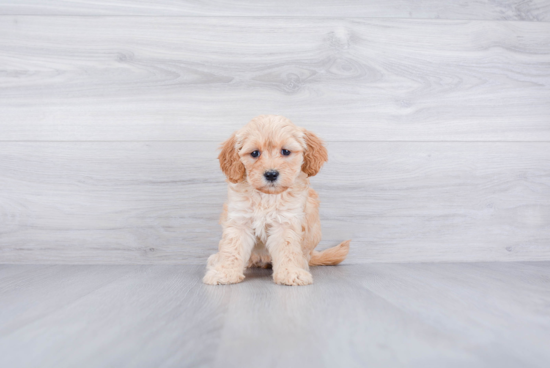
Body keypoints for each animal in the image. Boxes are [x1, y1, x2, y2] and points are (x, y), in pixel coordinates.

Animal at [205, 115, 352, 288]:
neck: (267, 196)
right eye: (254, 153)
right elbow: (232, 248)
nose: (271, 174)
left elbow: (287, 249)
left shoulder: (286, 222)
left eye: (286, 151)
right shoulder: (240, 220)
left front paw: (290, 273)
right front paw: (224, 272)